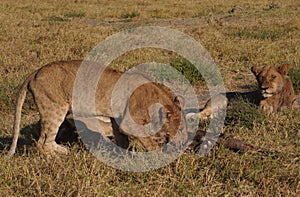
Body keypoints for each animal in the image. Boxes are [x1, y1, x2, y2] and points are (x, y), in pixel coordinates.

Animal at [7, 60, 188, 155]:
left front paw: (121, 154)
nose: (186, 143)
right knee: (43, 143)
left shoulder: (116, 119)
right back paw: (61, 157)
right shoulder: (129, 123)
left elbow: (121, 139)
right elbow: (150, 143)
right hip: (55, 108)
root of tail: (35, 72)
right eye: (179, 130)